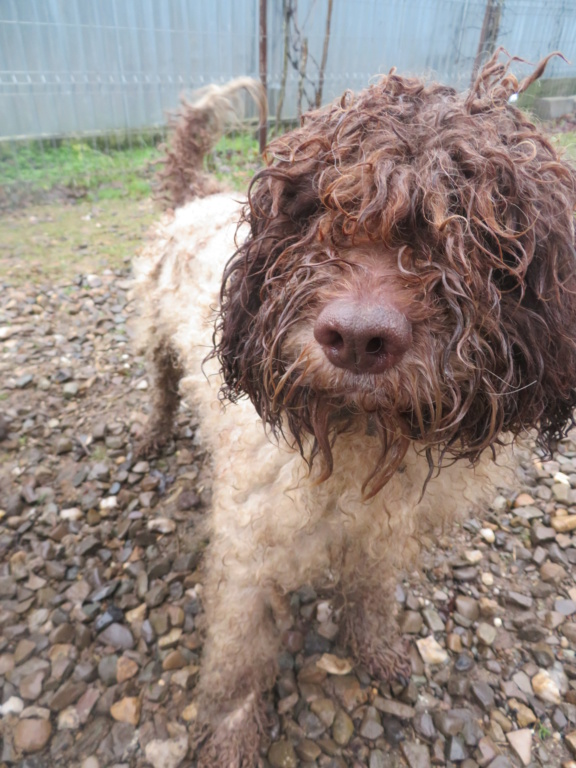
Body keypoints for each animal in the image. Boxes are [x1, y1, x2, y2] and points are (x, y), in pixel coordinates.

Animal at [133, 51, 576, 764]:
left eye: (477, 229)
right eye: (316, 210)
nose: (357, 338)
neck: (363, 436)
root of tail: (195, 195)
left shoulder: (382, 531)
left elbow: (369, 595)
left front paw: (376, 650)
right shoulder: (249, 546)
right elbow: (238, 657)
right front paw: (232, 736)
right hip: (151, 331)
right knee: (163, 381)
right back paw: (154, 430)